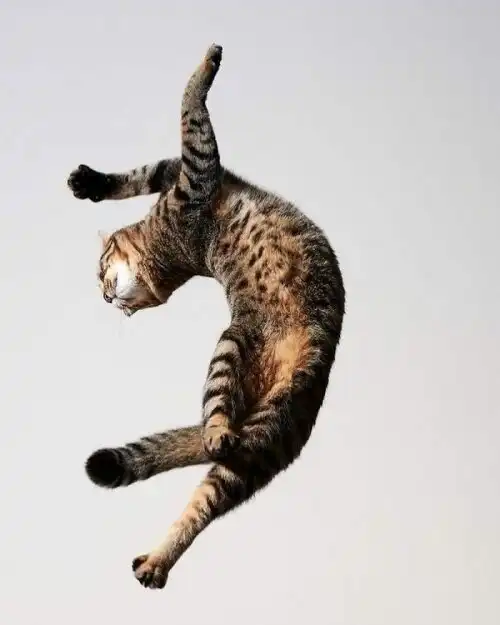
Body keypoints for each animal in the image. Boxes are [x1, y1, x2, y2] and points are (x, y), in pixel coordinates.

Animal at [68, 44, 346, 590]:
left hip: (264, 439)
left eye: (99, 272)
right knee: (211, 449)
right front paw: (208, 64)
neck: (171, 255)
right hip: (234, 354)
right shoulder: (196, 171)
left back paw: (155, 561)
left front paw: (87, 182)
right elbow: (189, 106)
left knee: (207, 496)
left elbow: (149, 162)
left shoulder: (187, 172)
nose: (107, 298)